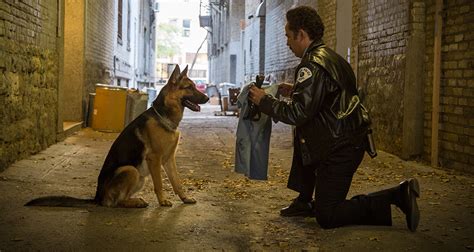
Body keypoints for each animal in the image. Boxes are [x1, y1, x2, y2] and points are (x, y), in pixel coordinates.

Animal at [25, 65, 207, 209]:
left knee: (120, 199)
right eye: (189, 87)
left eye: (194, 86)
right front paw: (162, 201)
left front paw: (184, 198)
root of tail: (97, 198)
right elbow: (159, 184)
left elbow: (177, 182)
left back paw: (135, 200)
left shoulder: (169, 159)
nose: (206, 97)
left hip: (140, 177)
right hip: (131, 170)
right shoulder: (154, 159)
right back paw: (134, 203)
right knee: (113, 203)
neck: (163, 116)